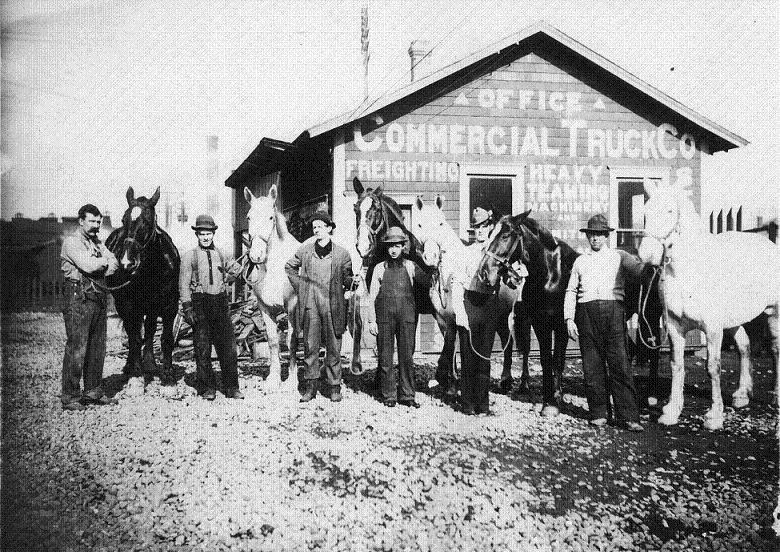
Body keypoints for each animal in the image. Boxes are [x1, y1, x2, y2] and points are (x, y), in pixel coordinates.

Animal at [105, 187, 181, 384]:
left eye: (147, 221)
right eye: (124, 219)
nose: (127, 263)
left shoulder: (169, 305)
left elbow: (165, 337)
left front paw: (167, 372)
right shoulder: (129, 305)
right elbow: (134, 337)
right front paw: (136, 370)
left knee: (149, 329)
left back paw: (150, 364)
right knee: (133, 331)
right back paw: (131, 365)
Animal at [245, 187, 300, 392]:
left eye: (270, 217)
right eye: (249, 217)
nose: (256, 255)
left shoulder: (292, 306)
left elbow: (291, 341)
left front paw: (291, 381)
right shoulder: (265, 308)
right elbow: (273, 341)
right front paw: (273, 379)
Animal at [478, 211, 660, 414]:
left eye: (506, 235)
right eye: (490, 233)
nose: (484, 272)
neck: (551, 274)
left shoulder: (561, 326)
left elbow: (558, 360)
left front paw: (555, 401)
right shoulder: (540, 324)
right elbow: (545, 360)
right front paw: (547, 400)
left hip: (650, 316)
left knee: (654, 350)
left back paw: (652, 397)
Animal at [640, 175, 780, 430]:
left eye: (670, 210)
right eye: (645, 212)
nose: (647, 254)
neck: (688, 271)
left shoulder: (712, 329)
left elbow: (713, 367)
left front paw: (714, 416)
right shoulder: (675, 327)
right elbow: (677, 365)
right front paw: (672, 411)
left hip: (773, 313)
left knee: (775, 349)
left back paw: (776, 395)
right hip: (734, 321)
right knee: (744, 347)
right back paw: (742, 394)